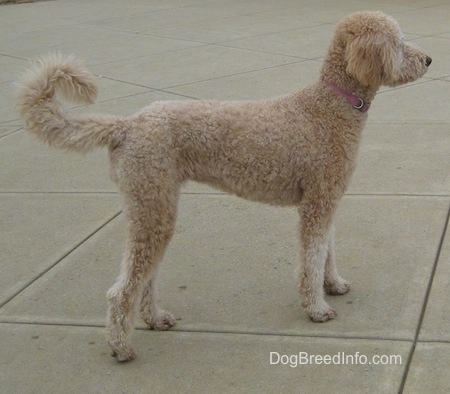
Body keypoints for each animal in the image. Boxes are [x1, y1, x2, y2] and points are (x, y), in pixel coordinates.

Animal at [17, 10, 430, 362]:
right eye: (398, 43)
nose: (428, 59)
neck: (328, 107)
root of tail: (125, 126)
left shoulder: (325, 200)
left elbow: (326, 252)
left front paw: (334, 285)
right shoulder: (316, 204)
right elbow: (311, 259)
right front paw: (315, 307)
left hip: (155, 207)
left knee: (145, 276)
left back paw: (155, 318)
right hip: (154, 208)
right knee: (122, 289)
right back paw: (120, 347)